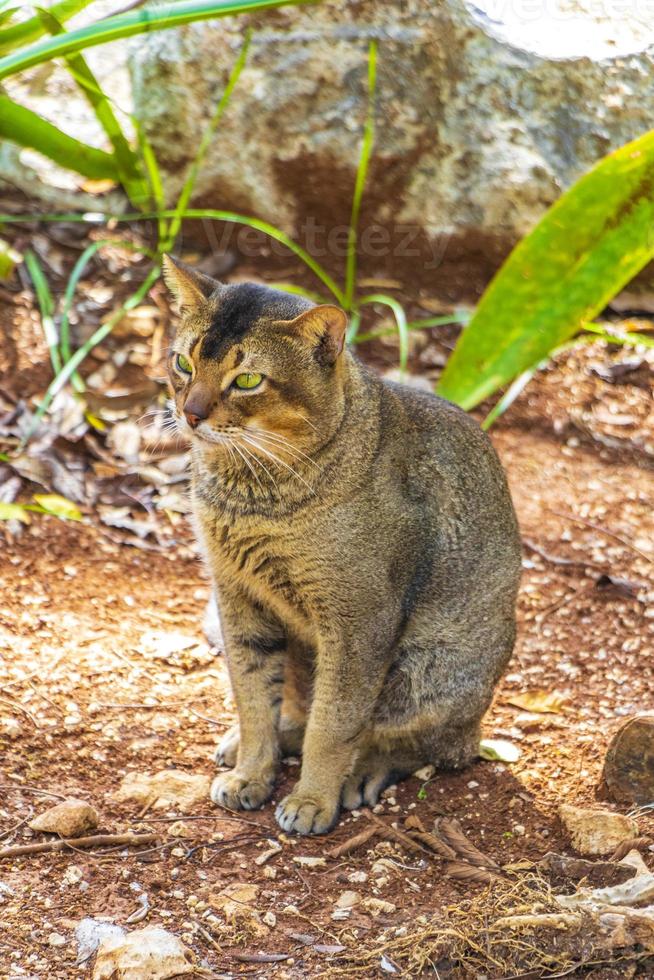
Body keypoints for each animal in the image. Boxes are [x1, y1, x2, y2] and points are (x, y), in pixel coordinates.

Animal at [164, 256, 524, 840]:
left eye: (247, 380)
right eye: (183, 362)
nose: (190, 413)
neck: (252, 497)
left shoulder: (358, 621)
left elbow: (334, 725)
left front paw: (312, 799)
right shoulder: (237, 595)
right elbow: (252, 698)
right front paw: (252, 773)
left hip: (425, 671)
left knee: (430, 747)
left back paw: (361, 774)